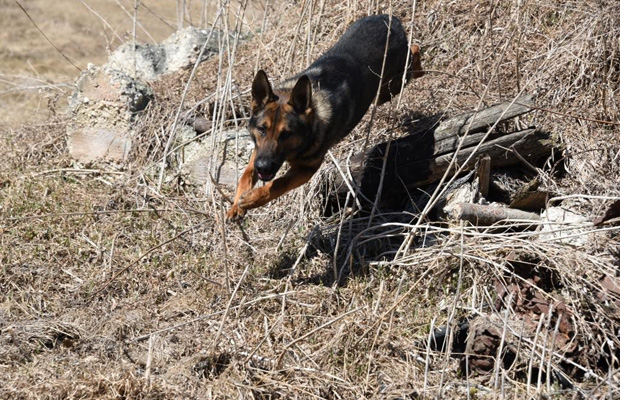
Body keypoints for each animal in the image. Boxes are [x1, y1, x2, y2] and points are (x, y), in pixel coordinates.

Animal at [228, 14, 426, 222]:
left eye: (286, 134)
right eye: (261, 129)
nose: (264, 168)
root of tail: (389, 17)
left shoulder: (306, 170)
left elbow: (279, 184)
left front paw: (254, 198)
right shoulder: (258, 152)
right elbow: (246, 174)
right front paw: (235, 206)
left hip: (391, 85)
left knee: (414, 54)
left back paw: (420, 65)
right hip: (381, 93)